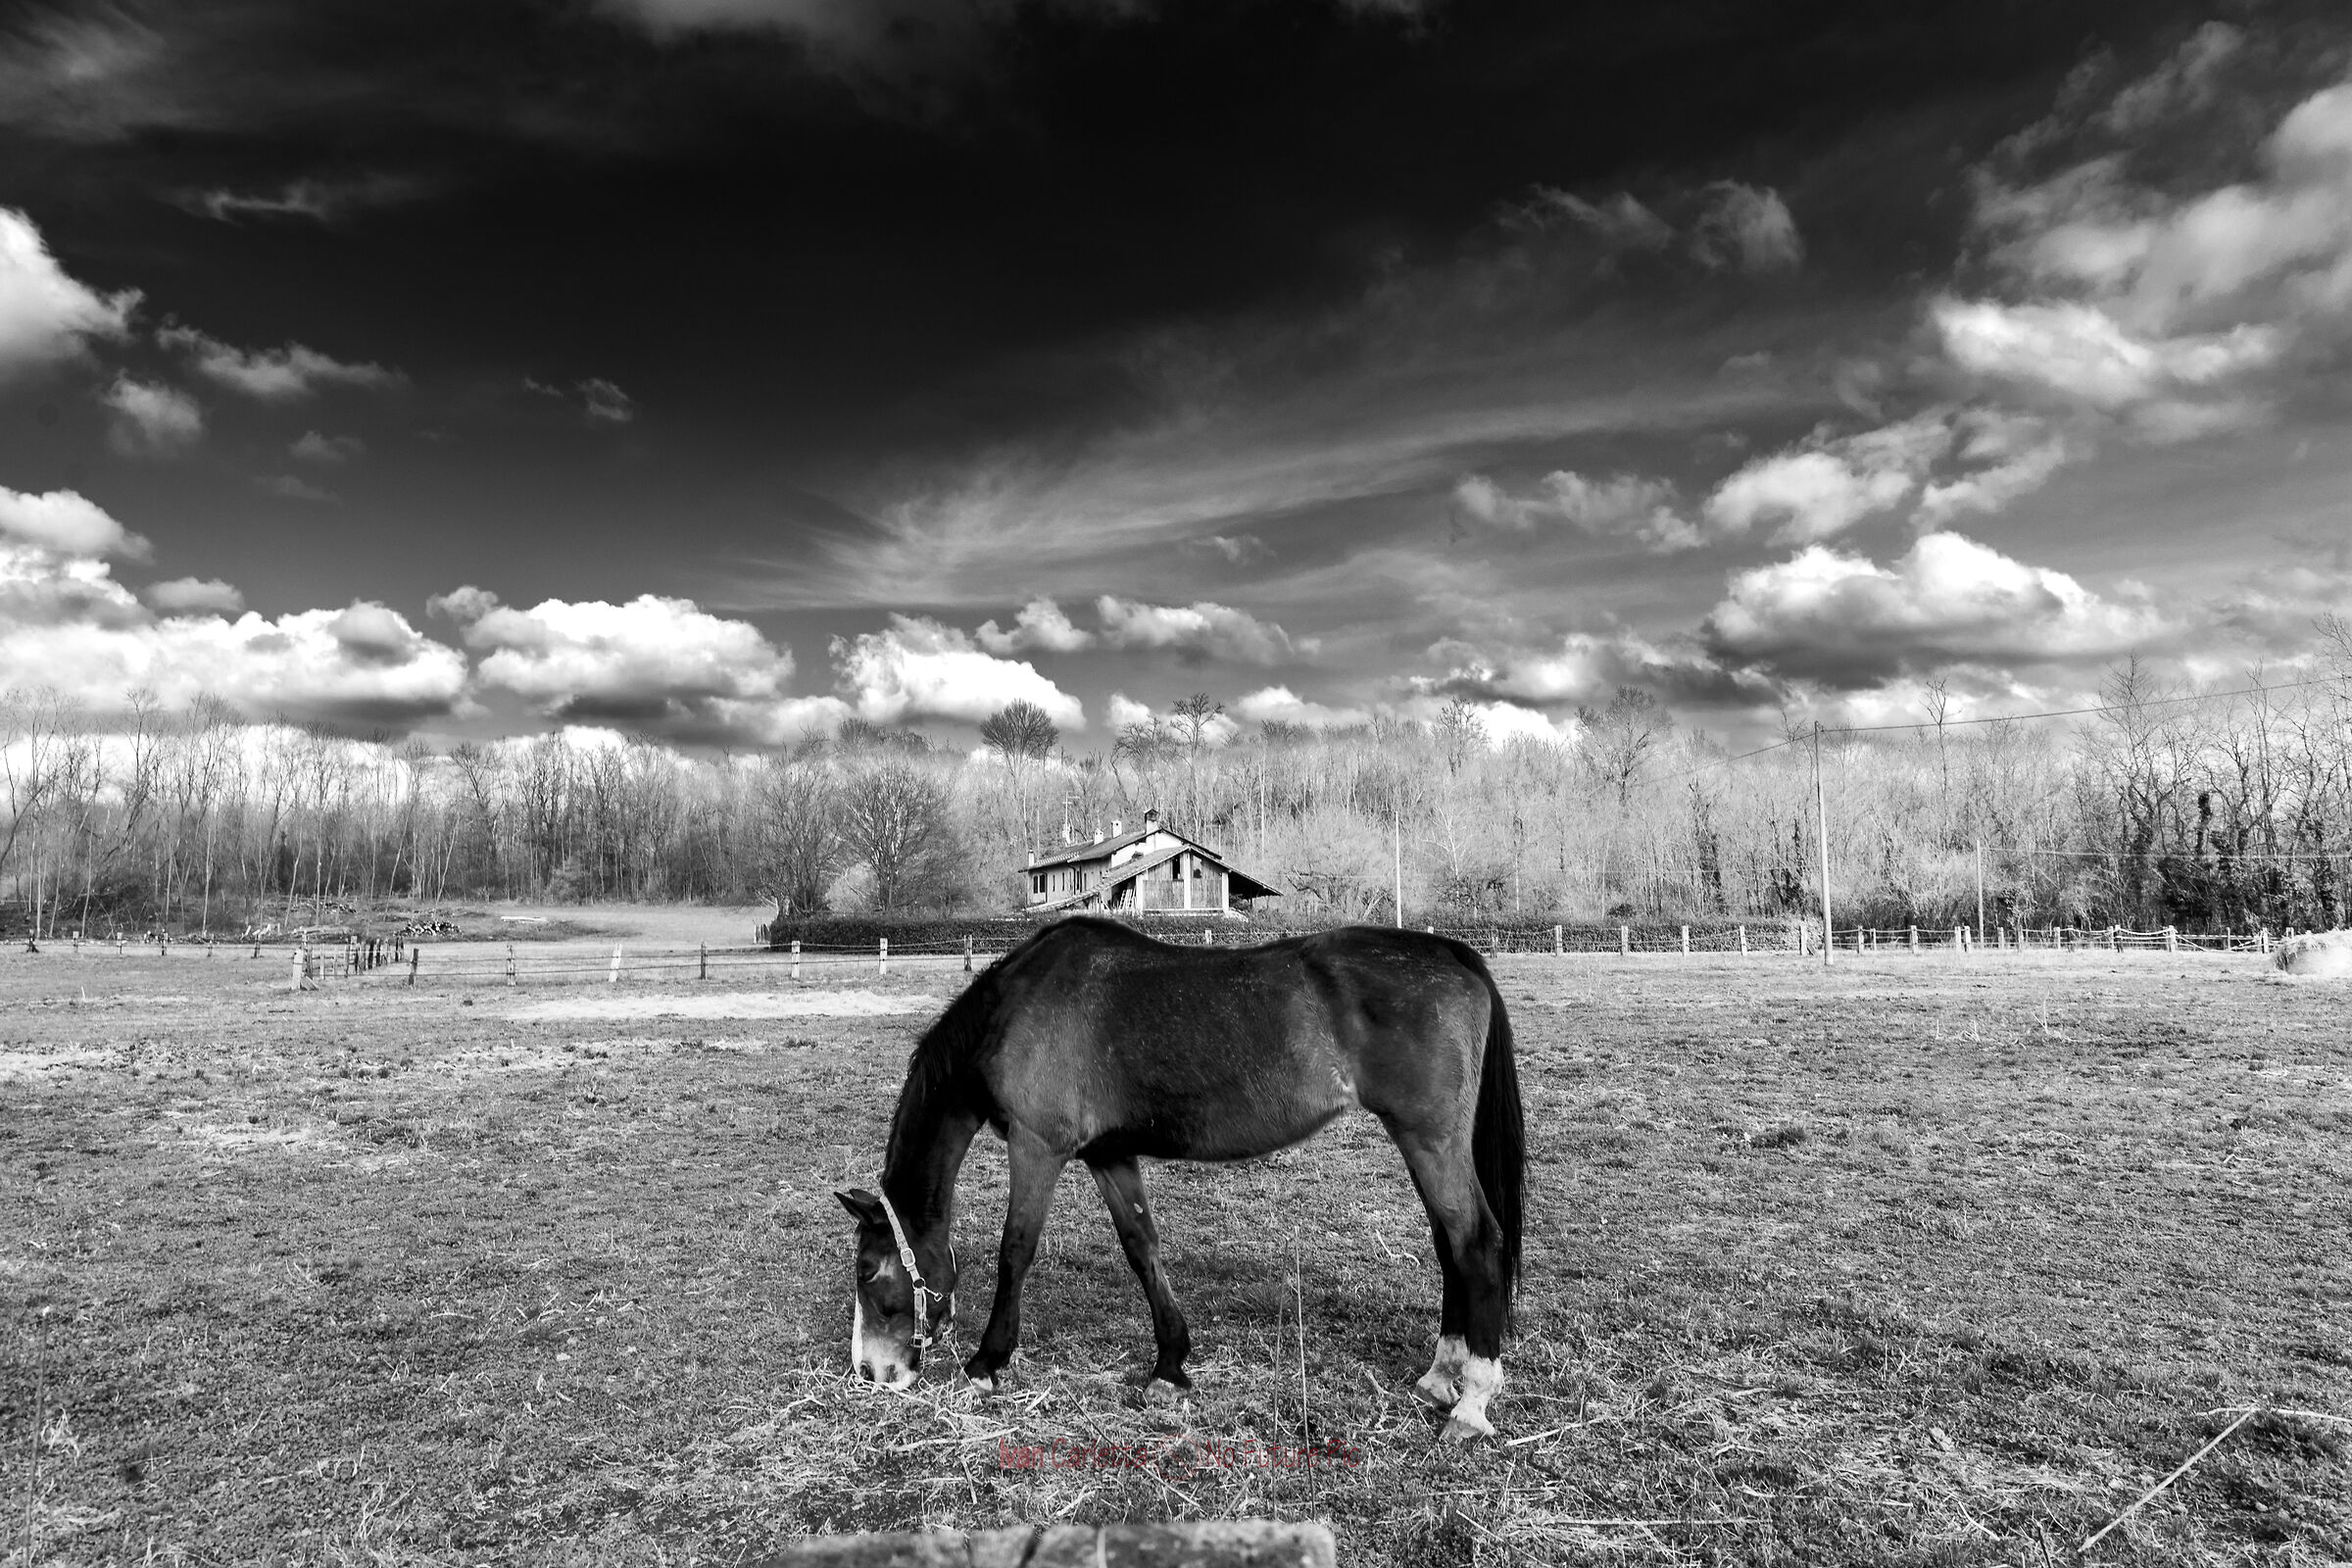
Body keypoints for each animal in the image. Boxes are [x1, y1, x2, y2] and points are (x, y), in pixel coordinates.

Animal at [832, 915, 1525, 1441]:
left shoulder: (1038, 1148)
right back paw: (1440, 1376)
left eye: (868, 1272)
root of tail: (1451, 953)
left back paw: (1472, 1401)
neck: (1017, 1007)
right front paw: (1170, 1366)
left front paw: (987, 1362)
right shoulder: (1109, 1155)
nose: (870, 1372)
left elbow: (1015, 1252)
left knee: (1475, 1243)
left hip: (1429, 1140)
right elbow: (1142, 1247)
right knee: (1449, 1245)